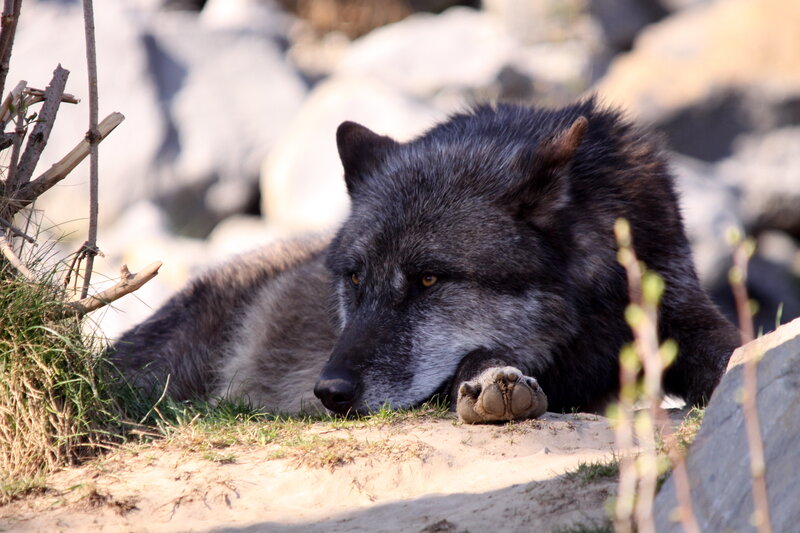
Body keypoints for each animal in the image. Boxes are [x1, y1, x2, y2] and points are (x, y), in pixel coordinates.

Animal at [111, 99, 740, 424]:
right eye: (355, 277)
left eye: (429, 279)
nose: (329, 392)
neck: (590, 306)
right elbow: (479, 356)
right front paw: (492, 380)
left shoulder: (679, 304)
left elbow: (729, 351)